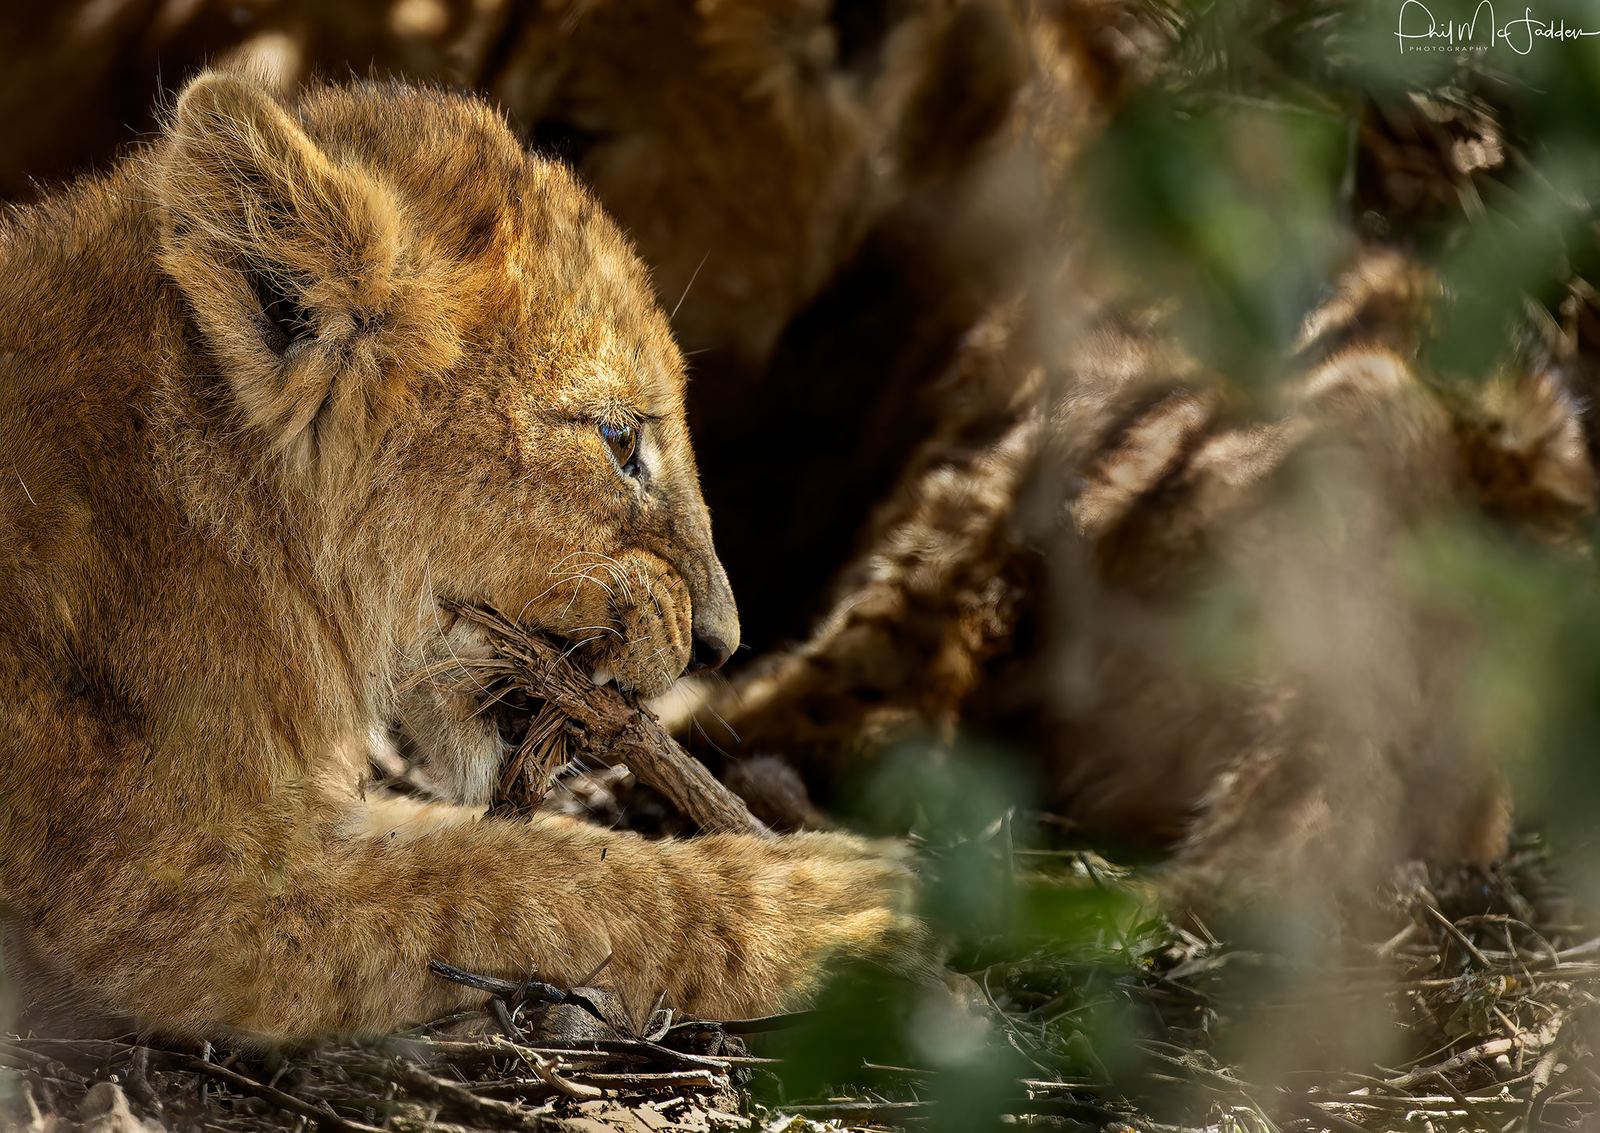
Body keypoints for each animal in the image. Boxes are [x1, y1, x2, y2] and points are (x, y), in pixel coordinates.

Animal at [0, 71, 920, 1041]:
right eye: (620, 439)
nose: (721, 643)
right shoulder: (164, 892)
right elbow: (535, 886)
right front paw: (851, 895)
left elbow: (514, 843)